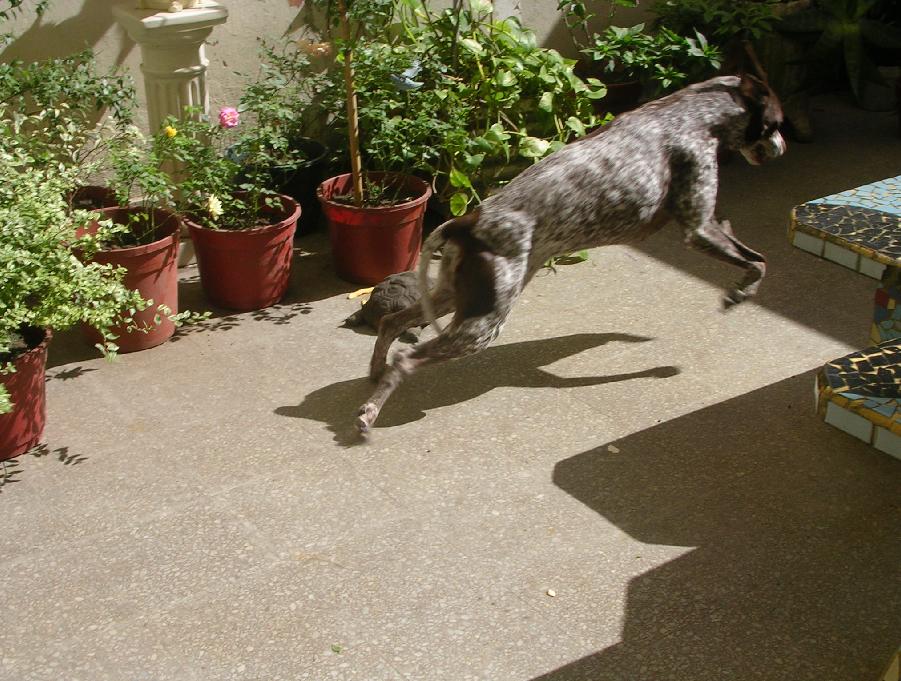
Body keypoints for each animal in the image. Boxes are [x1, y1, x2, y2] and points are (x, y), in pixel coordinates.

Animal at [356, 73, 784, 430]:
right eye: (777, 123)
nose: (782, 147)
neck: (690, 114)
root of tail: (466, 222)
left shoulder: (706, 223)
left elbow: (744, 243)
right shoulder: (697, 229)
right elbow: (760, 262)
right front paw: (741, 292)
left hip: (453, 299)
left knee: (390, 323)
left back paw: (374, 373)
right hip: (481, 326)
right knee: (405, 359)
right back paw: (371, 411)